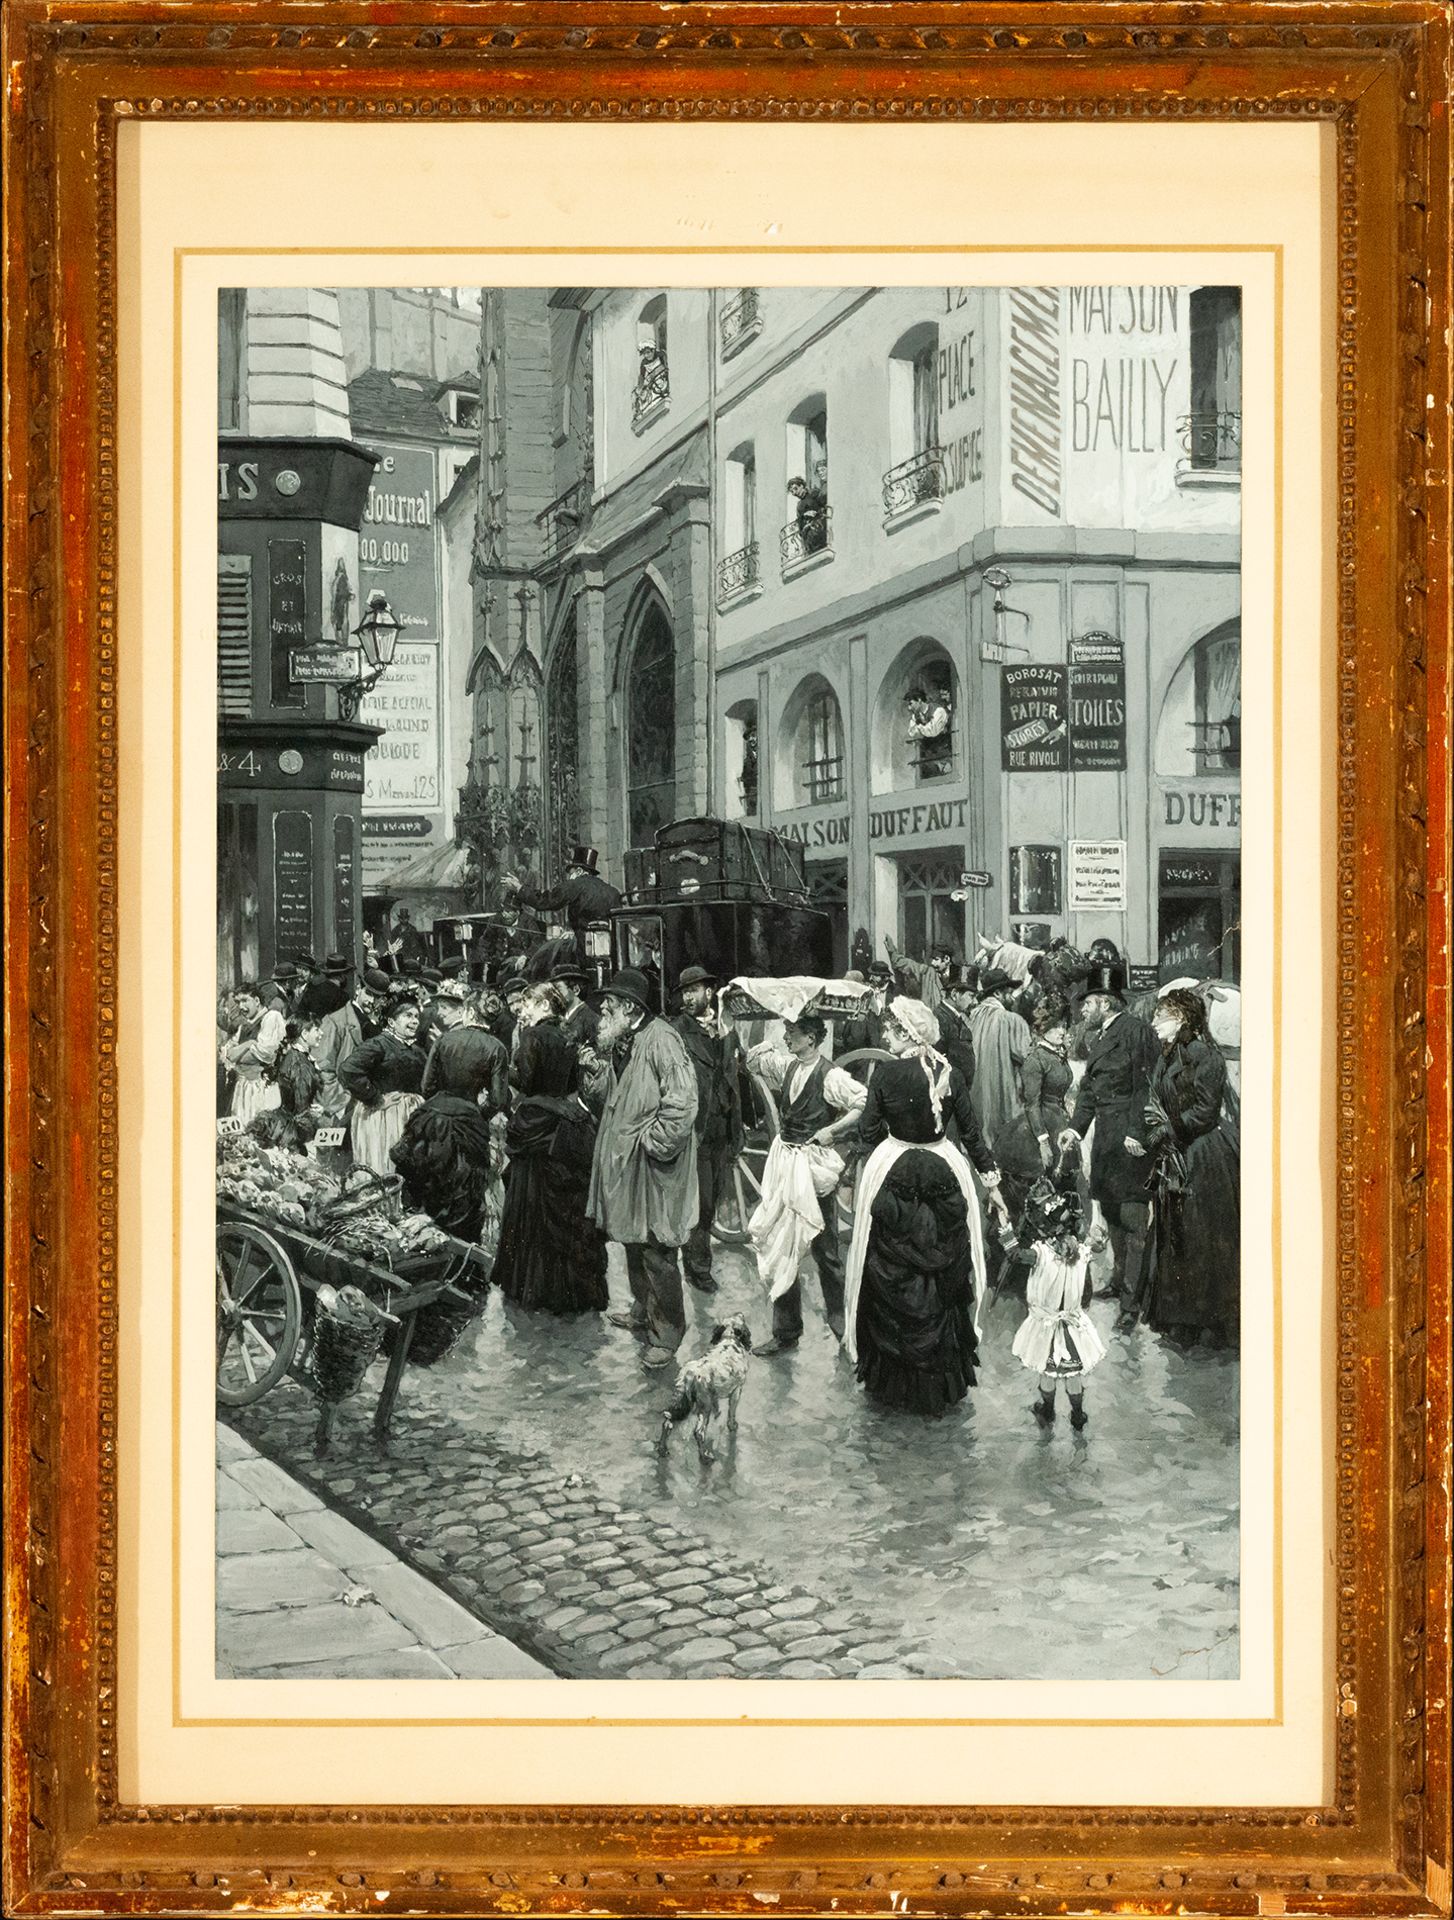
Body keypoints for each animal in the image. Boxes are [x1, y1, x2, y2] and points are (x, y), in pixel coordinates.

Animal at [656, 1313, 749, 1459]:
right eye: (741, 1319)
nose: (741, 1313)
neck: (729, 1339)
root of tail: (689, 1374)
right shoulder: (737, 1390)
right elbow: (732, 1411)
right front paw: (732, 1425)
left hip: (681, 1401)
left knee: (667, 1423)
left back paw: (662, 1449)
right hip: (705, 1406)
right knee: (699, 1432)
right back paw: (705, 1455)